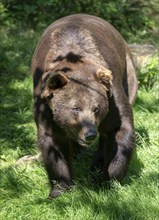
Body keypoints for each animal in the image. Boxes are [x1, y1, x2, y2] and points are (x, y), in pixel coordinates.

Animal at [31, 14, 138, 199]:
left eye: (96, 108)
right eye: (75, 108)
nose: (90, 134)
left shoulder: (112, 98)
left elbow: (119, 129)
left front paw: (108, 179)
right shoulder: (46, 107)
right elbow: (53, 143)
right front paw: (59, 188)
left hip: (128, 72)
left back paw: (97, 162)